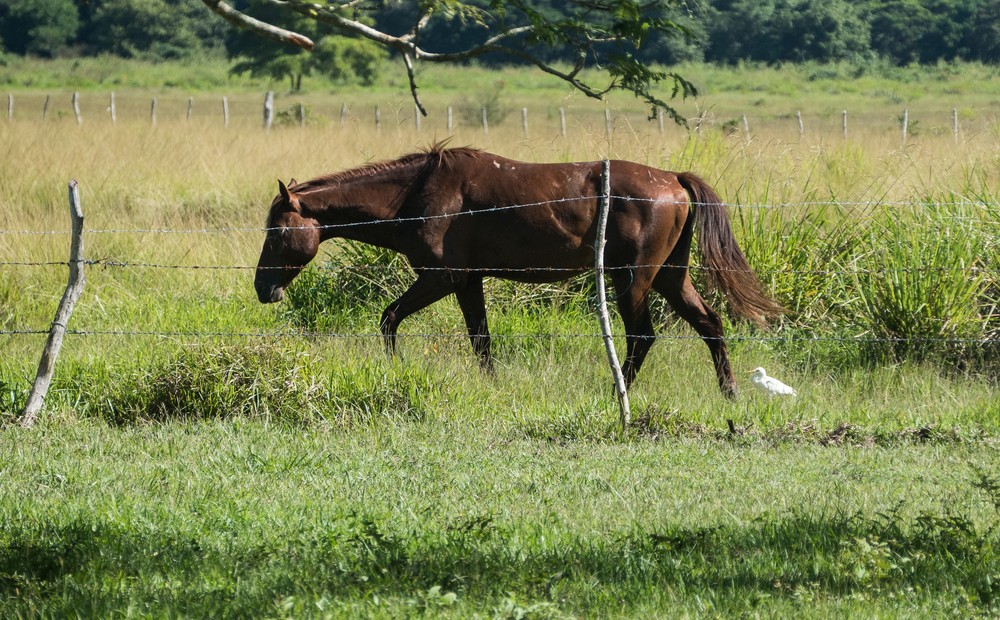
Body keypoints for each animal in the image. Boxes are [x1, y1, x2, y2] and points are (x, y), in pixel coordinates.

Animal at [254, 145, 783, 398]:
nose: (263, 289)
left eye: (277, 232)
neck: (418, 192)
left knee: (642, 336)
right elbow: (481, 340)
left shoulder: (441, 278)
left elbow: (389, 318)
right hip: (672, 276)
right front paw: (492, 384)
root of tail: (673, 179)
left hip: (633, 278)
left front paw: (394, 369)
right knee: (710, 325)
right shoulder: (468, 282)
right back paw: (730, 393)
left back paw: (613, 390)